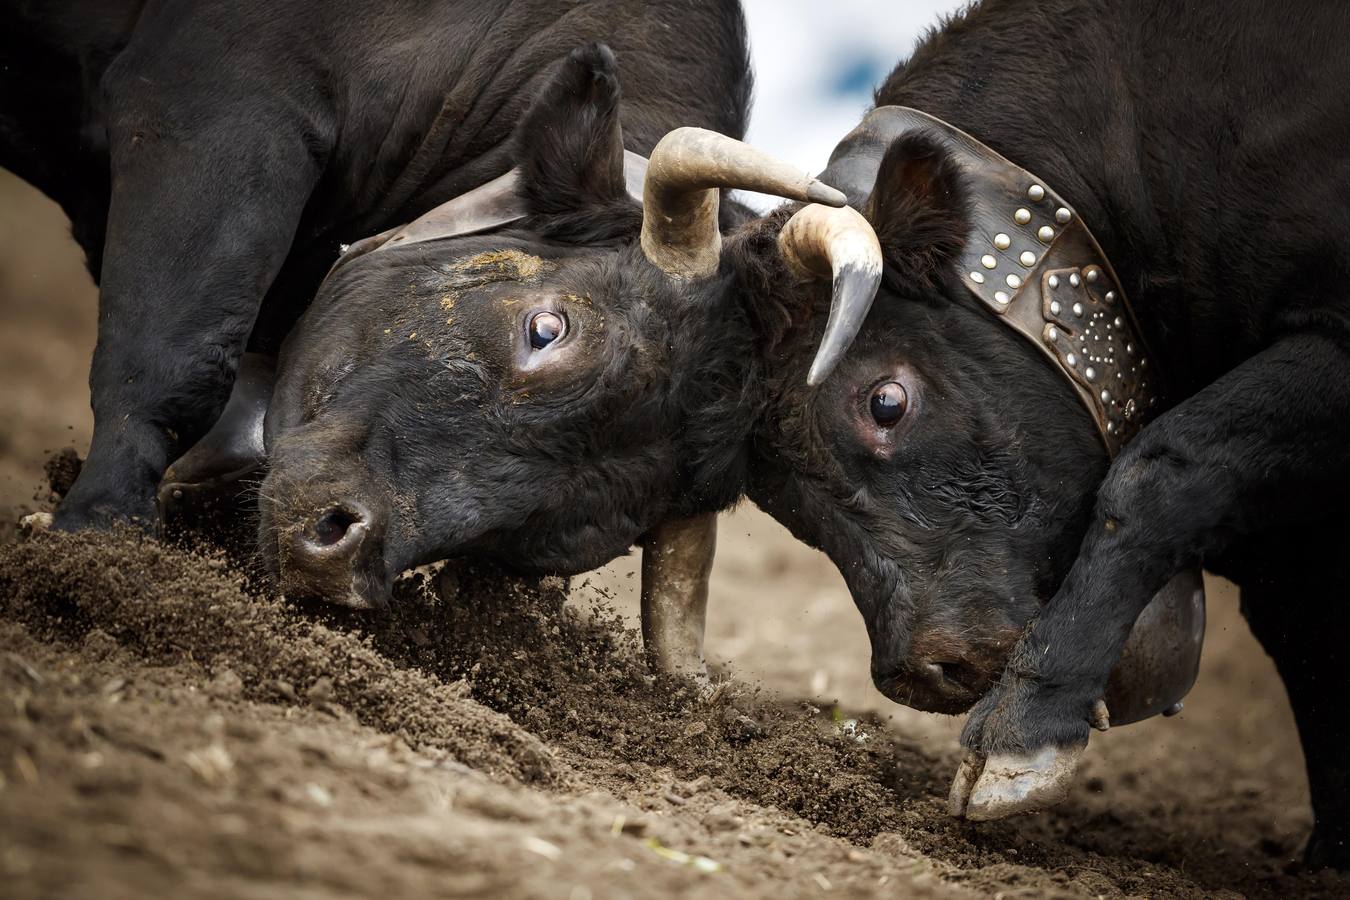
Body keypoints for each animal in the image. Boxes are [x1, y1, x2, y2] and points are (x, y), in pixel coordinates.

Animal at [1, 0, 755, 534]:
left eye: (618, 515)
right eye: (547, 330)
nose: (349, 555)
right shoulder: (211, 110)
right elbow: (174, 359)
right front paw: (100, 530)